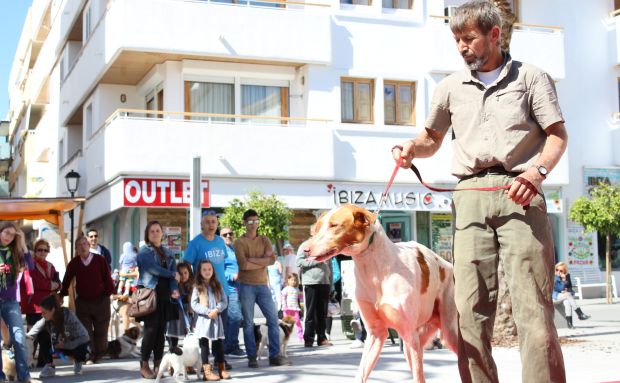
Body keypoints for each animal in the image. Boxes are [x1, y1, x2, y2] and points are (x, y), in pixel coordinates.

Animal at [302, 206, 458, 383]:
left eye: (334, 225)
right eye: (317, 228)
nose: (305, 250)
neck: (375, 271)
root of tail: (447, 264)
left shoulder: (408, 333)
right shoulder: (376, 333)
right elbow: (361, 374)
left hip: (449, 334)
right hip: (416, 341)